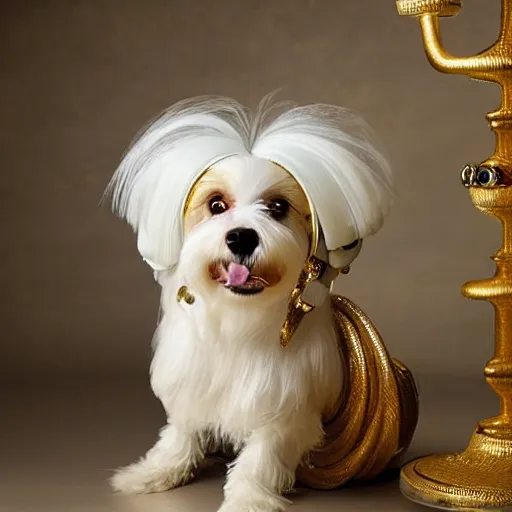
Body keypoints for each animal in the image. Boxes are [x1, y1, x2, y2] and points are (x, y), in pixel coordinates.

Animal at [105, 94, 392, 510]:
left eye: (278, 208)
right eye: (216, 205)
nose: (242, 236)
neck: (237, 319)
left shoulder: (284, 408)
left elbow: (261, 457)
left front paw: (247, 498)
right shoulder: (191, 380)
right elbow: (180, 433)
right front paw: (154, 473)